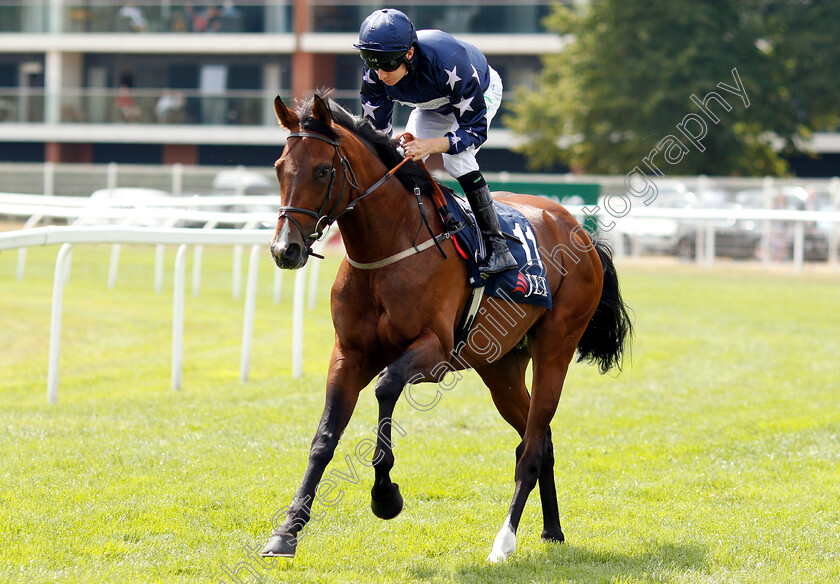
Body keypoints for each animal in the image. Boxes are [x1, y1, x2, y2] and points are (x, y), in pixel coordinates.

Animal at [262, 92, 632, 560]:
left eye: (323, 171)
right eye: (279, 167)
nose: (285, 249)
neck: (390, 247)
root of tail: (579, 230)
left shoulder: (434, 351)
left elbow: (386, 386)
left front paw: (385, 495)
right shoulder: (348, 353)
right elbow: (324, 437)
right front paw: (287, 530)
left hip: (556, 348)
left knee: (531, 447)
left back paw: (504, 541)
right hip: (500, 367)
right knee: (540, 439)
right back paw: (552, 529)